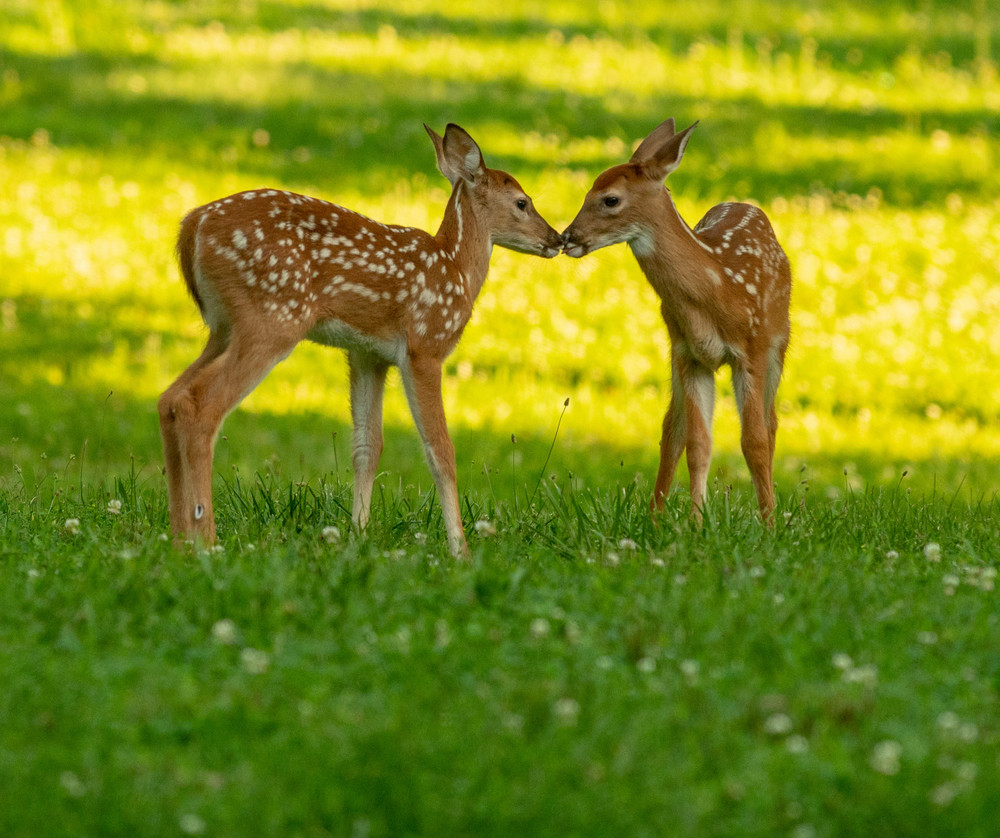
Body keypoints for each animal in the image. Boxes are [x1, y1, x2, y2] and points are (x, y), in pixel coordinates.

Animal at [158, 123, 563, 556]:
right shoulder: (425, 345)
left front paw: (357, 535)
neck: (456, 270)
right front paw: (460, 550)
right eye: (522, 202)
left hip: (223, 327)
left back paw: (179, 536)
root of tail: (191, 226)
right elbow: (440, 449)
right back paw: (206, 538)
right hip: (273, 317)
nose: (556, 238)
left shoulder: (367, 354)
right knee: (200, 406)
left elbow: (368, 446)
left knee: (170, 398)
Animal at [562, 119, 791, 525]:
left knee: (771, 423)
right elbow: (697, 443)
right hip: (674, 353)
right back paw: (655, 516)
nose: (567, 237)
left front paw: (769, 525)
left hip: (779, 345)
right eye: (587, 190)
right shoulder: (690, 354)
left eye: (610, 199)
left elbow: (754, 440)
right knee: (672, 427)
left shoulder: (752, 350)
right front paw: (696, 523)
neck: (717, 292)